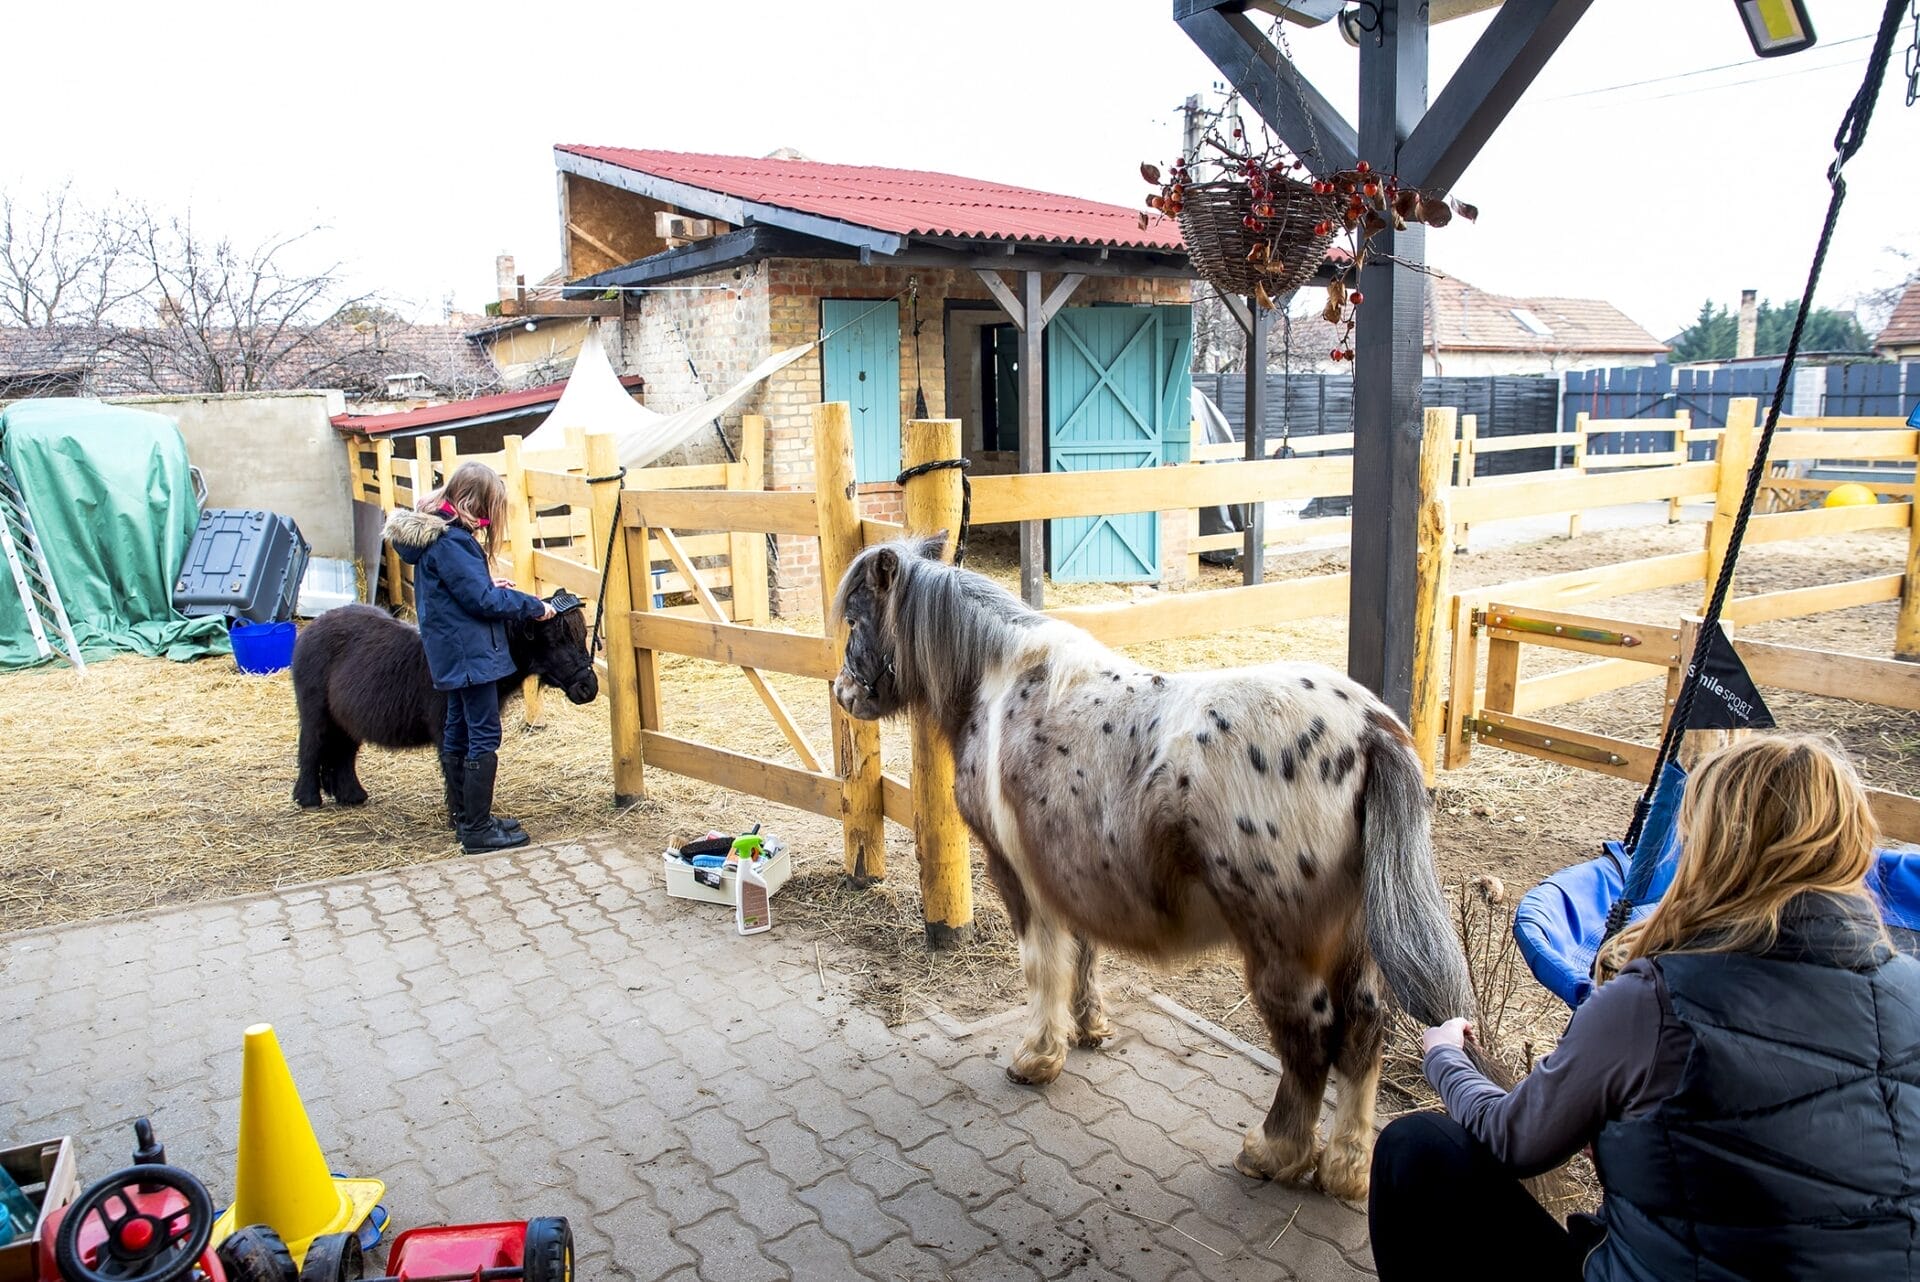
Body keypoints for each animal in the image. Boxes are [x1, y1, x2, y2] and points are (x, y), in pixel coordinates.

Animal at [286, 591, 591, 809]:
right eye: (554, 639)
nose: (588, 687)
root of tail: (313, 627)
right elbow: (456, 765)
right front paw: (460, 817)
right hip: (316, 713)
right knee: (311, 748)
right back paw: (308, 799)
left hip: (346, 720)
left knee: (343, 754)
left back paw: (351, 796)